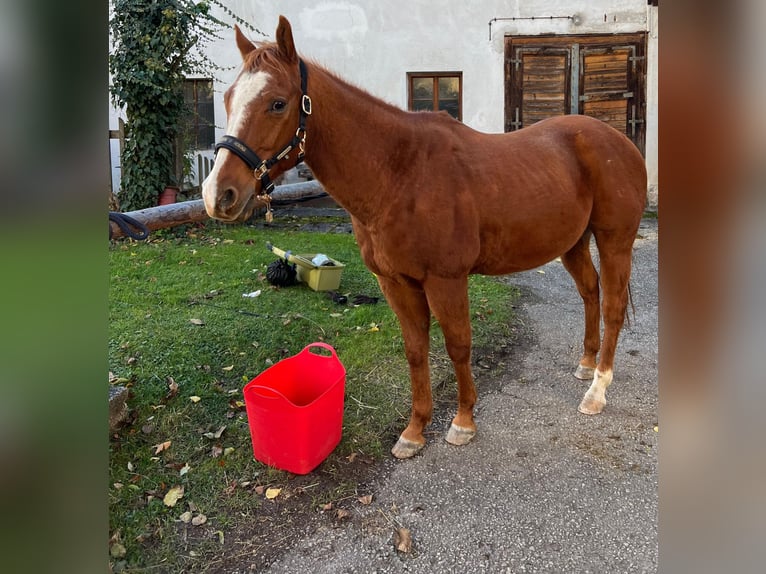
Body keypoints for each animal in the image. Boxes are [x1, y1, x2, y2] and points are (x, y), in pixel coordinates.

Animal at [202, 16, 647, 459]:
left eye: (277, 103)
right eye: (227, 97)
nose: (217, 195)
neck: (400, 175)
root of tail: (619, 142)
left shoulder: (445, 280)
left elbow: (458, 345)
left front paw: (463, 421)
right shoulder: (395, 282)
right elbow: (416, 351)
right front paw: (415, 431)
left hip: (615, 241)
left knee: (612, 306)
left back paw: (597, 390)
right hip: (573, 243)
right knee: (590, 292)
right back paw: (586, 365)